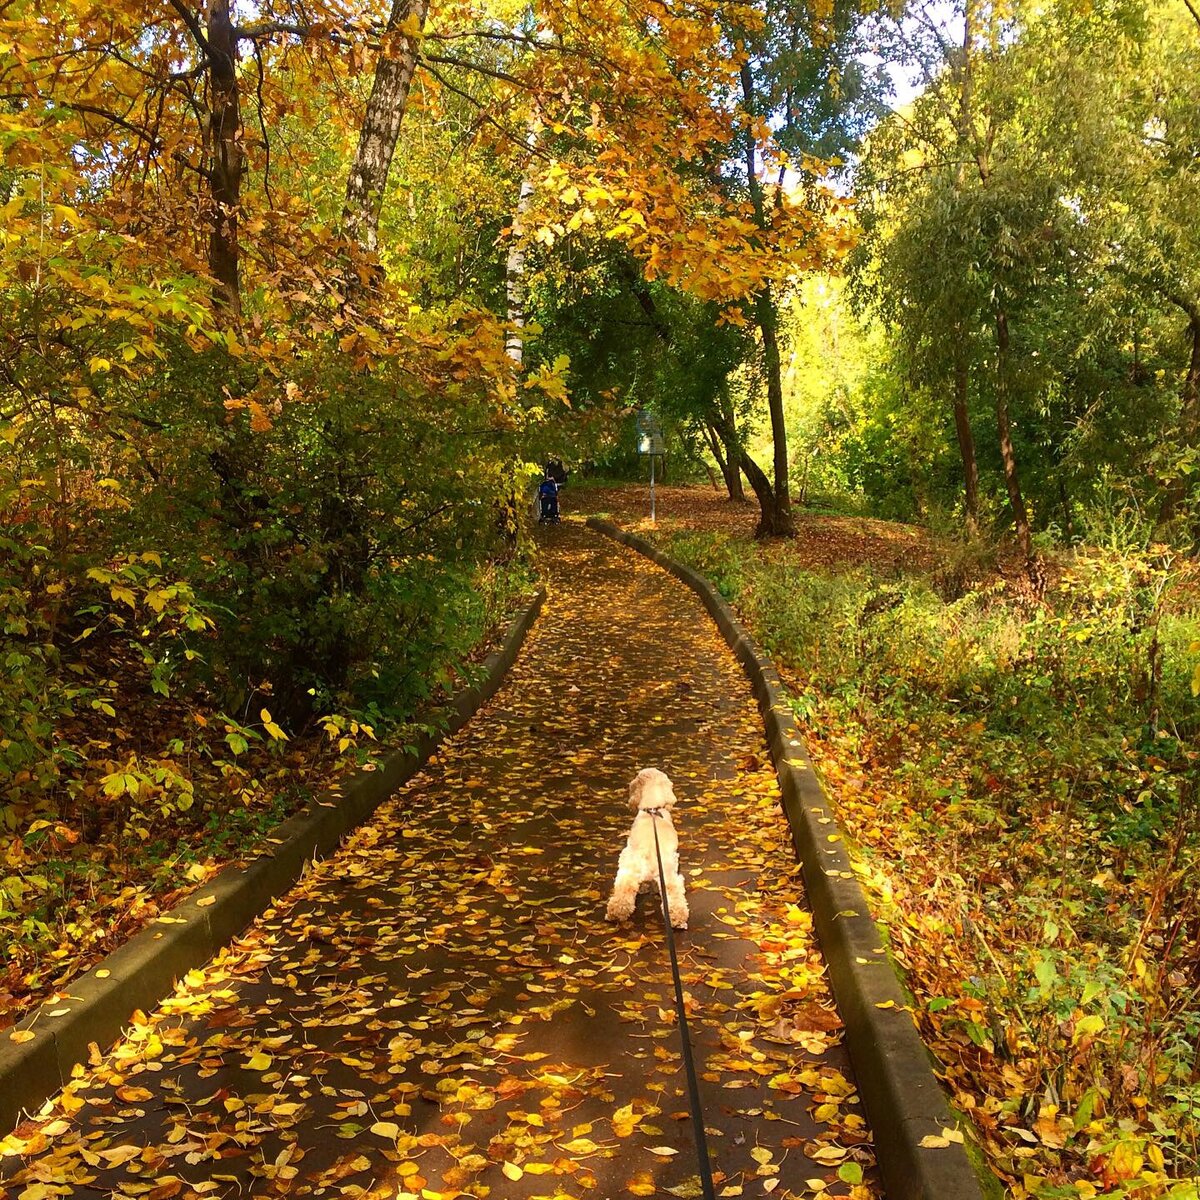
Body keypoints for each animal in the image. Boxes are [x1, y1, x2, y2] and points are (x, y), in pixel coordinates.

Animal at [604, 768, 691, 926]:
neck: (652, 808)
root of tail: (647, 853)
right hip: (667, 874)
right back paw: (678, 920)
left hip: (629, 871)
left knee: (623, 891)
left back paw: (615, 914)